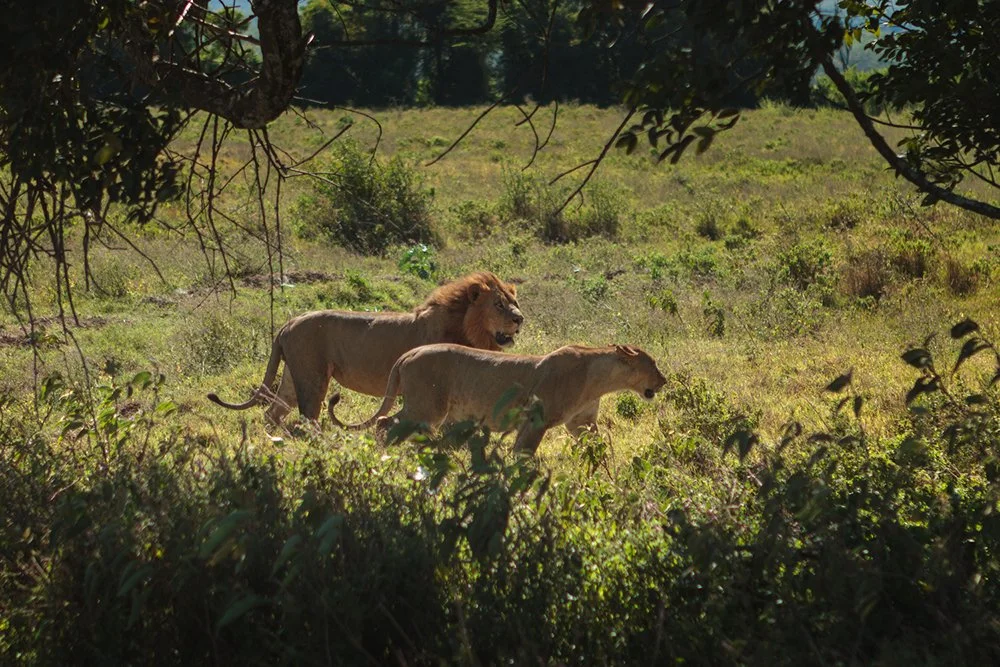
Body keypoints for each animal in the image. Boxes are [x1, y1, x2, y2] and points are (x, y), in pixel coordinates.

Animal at [207, 272, 523, 424]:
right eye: (499, 305)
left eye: (514, 302)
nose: (520, 319)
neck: (467, 324)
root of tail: (288, 322)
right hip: (313, 377)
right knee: (308, 417)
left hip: (293, 376)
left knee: (273, 412)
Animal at [329, 343, 666, 455]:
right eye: (652, 365)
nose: (664, 381)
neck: (600, 380)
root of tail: (409, 352)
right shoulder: (537, 418)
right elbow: (524, 453)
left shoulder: (581, 423)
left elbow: (595, 446)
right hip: (427, 407)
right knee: (386, 422)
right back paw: (385, 457)